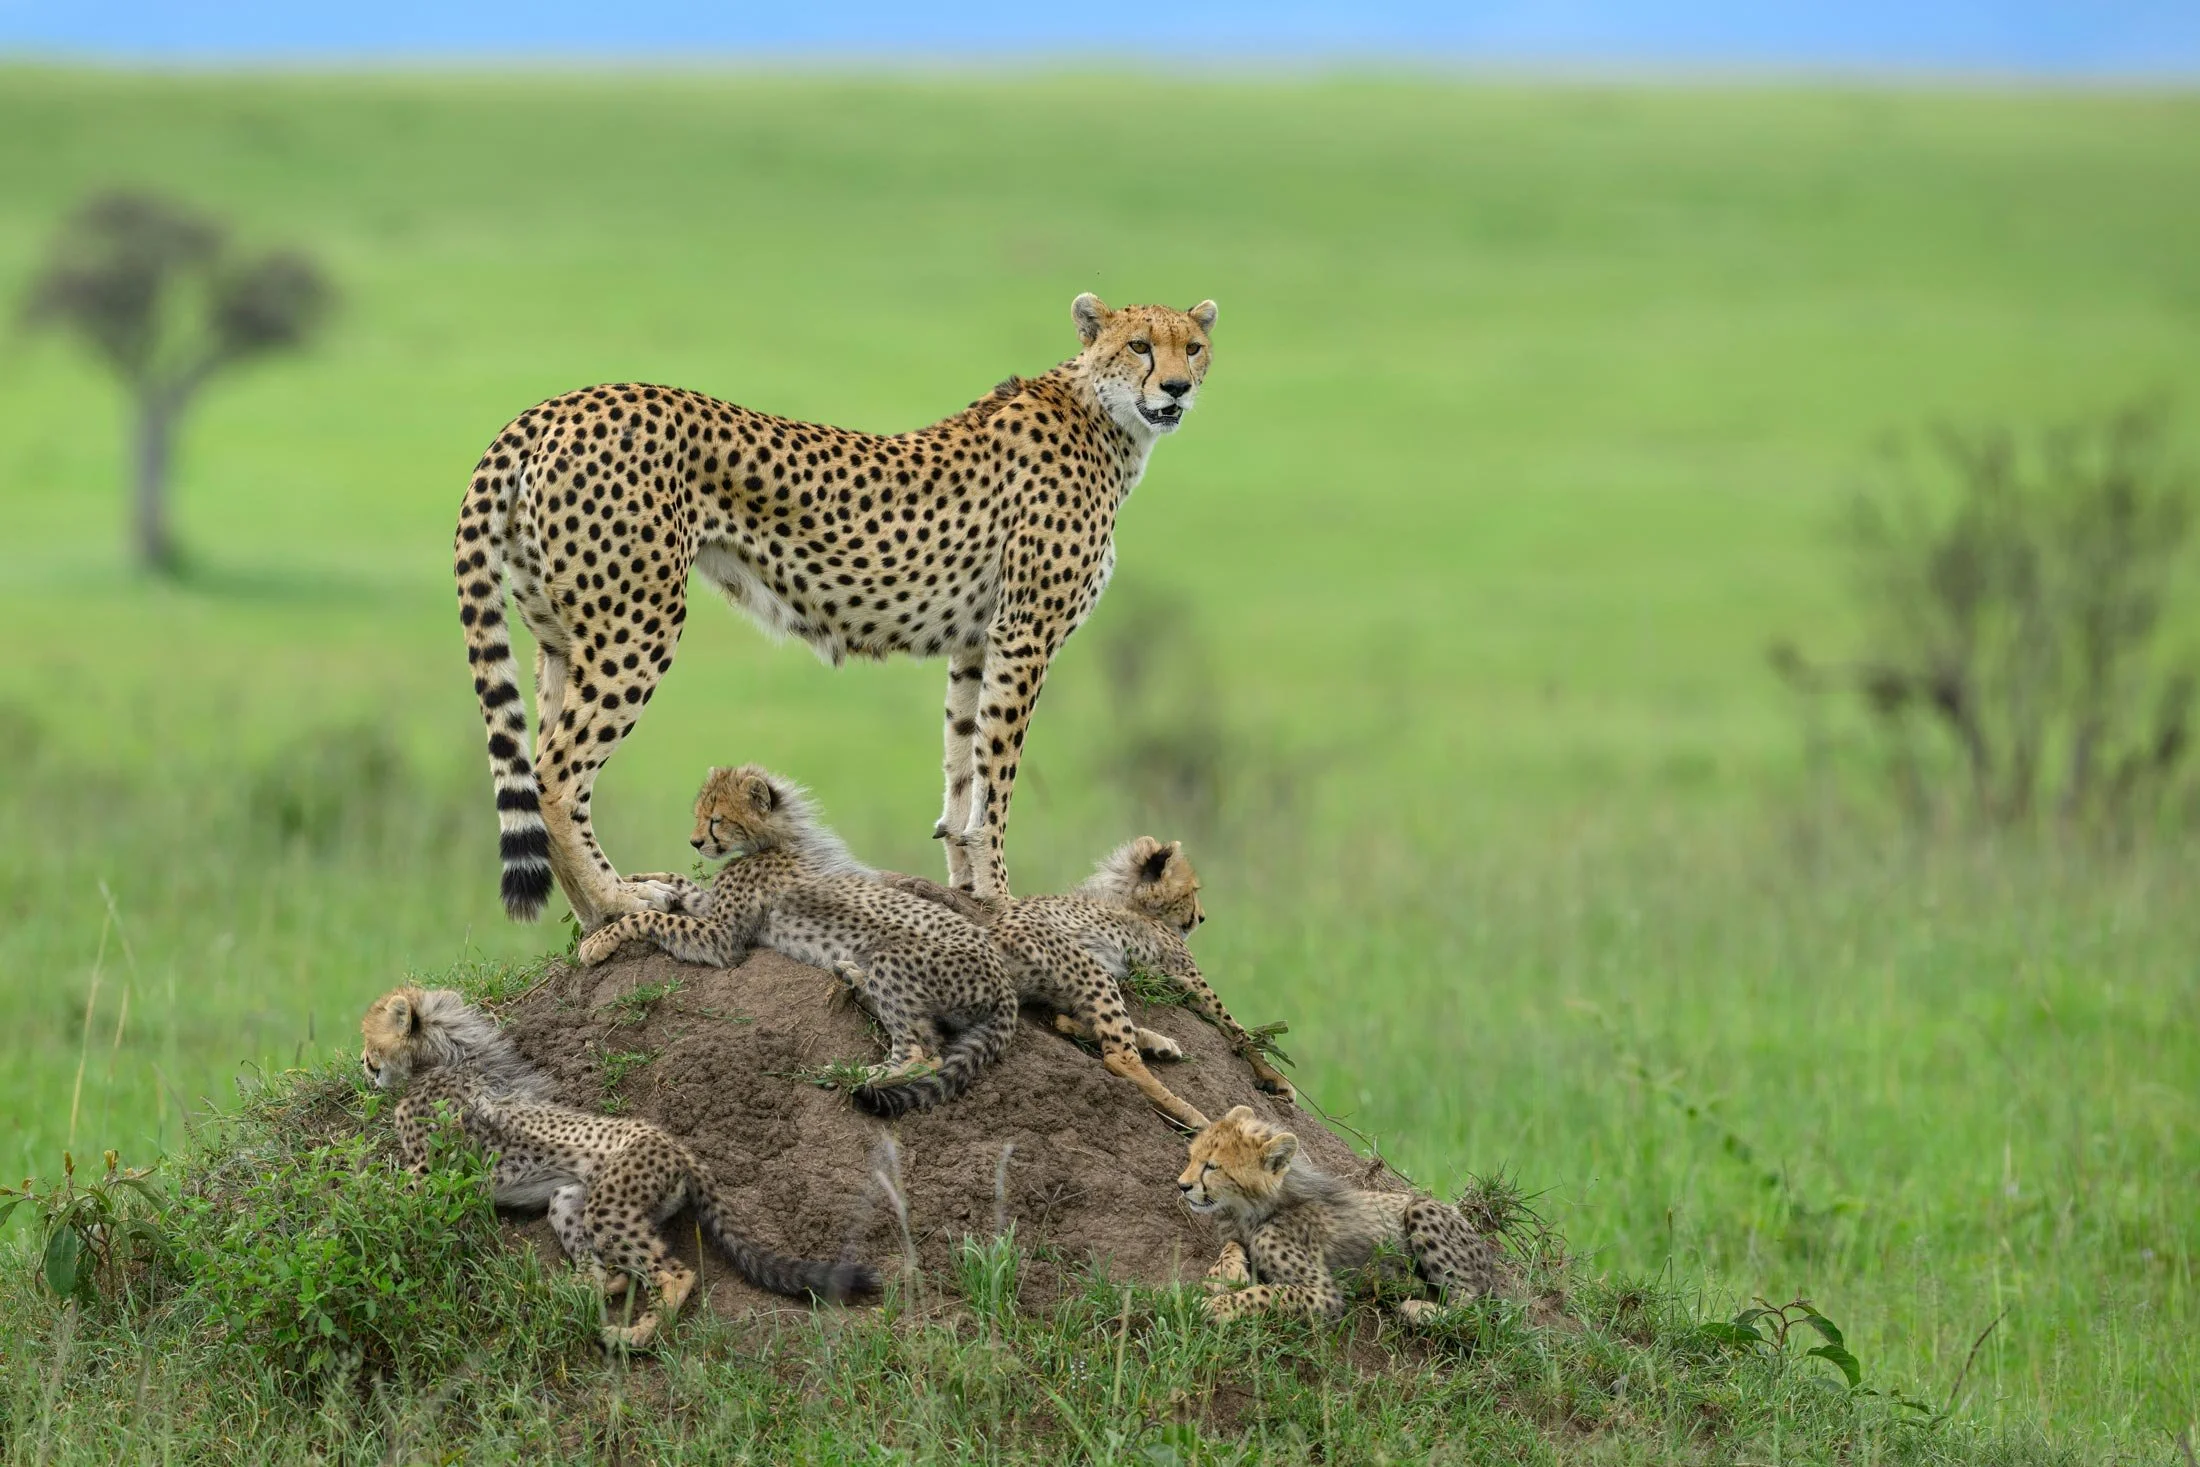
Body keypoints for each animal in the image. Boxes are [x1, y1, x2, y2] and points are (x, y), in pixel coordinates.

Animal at [360, 985, 877, 1347]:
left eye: (369, 1041)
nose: (363, 1064)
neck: (440, 1061)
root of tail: (678, 1145)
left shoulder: (429, 1173)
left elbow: (385, 1193)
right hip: (569, 1198)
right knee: (611, 1273)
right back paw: (571, 1291)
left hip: (612, 1206)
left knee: (673, 1274)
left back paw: (634, 1336)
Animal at [455, 294, 1218, 930]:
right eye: (1141, 345)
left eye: (1193, 347)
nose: (1177, 388)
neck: (1104, 416)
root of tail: (557, 404)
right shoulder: (1024, 635)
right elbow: (996, 780)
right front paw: (1003, 898)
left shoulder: (977, 642)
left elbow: (962, 770)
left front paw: (967, 891)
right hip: (634, 625)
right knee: (555, 775)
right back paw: (619, 901)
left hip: (562, 634)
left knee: (545, 760)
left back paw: (597, 912)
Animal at [574, 763, 1018, 1117]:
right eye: (700, 817)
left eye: (715, 820)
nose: (695, 842)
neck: (775, 840)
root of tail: (1005, 980)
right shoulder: (711, 906)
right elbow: (676, 884)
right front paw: (639, 882)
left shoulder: (722, 938)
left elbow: (652, 917)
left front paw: (599, 941)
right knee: (927, 1035)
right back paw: (853, 979)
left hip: (896, 960)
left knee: (922, 1057)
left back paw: (851, 1071)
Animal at [883, 838, 1295, 1133]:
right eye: (1192, 891)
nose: (1202, 917)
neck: (1128, 900)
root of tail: (991, 935)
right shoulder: (1187, 975)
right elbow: (1236, 1028)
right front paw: (1276, 1079)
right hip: (1089, 968)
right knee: (1118, 1057)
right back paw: (1191, 1114)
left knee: (1072, 1022)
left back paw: (1158, 1045)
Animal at [1177, 1105, 1508, 1325]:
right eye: (1192, 1158)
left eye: (1212, 1166)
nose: (1182, 1186)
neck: (1252, 1209)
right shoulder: (1236, 1233)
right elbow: (1230, 1247)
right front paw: (1225, 1273)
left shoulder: (1323, 1293)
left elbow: (1264, 1294)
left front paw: (1214, 1306)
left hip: (1422, 1209)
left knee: (1473, 1308)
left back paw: (1418, 1307)